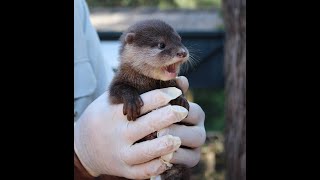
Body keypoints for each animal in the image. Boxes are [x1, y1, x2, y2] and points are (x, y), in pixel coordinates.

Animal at [109, 19, 191, 179]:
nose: (182, 52)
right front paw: (132, 103)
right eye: (161, 45)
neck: (147, 83)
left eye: (179, 40)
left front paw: (181, 100)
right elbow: (119, 89)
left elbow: (177, 89)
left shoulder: (173, 83)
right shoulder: (118, 81)